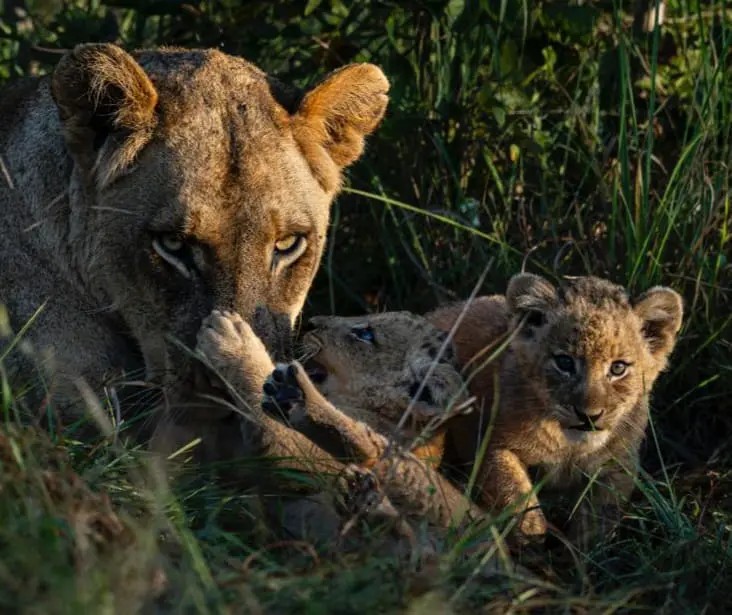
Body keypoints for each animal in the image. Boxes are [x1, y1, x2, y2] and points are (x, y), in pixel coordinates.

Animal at [427, 273, 684, 547]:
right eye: (564, 363)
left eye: (618, 368)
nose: (589, 416)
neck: (571, 446)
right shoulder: (492, 445)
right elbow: (514, 492)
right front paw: (531, 535)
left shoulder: (618, 463)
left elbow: (600, 515)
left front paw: (585, 548)